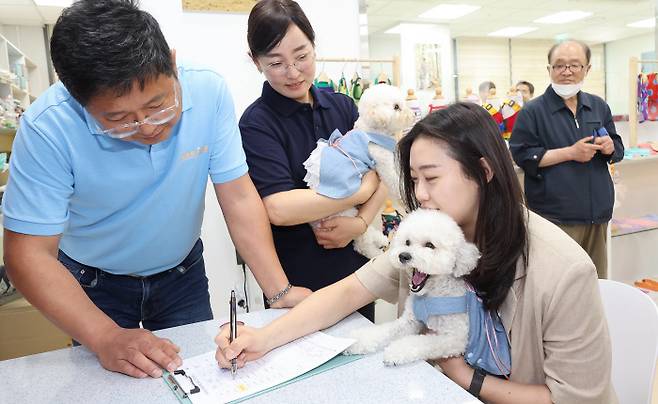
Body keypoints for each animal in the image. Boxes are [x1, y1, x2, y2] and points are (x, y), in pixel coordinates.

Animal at [302, 83, 410, 258]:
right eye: (396, 107)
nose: (411, 115)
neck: (373, 131)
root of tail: (314, 223)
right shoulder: (383, 162)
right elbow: (394, 181)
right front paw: (403, 196)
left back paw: (380, 239)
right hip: (345, 215)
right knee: (361, 241)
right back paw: (374, 252)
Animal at [344, 208, 482, 366]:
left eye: (430, 245)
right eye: (407, 242)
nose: (403, 256)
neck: (431, 296)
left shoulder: (455, 337)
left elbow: (423, 343)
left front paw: (395, 351)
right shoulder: (409, 321)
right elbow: (387, 330)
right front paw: (356, 341)